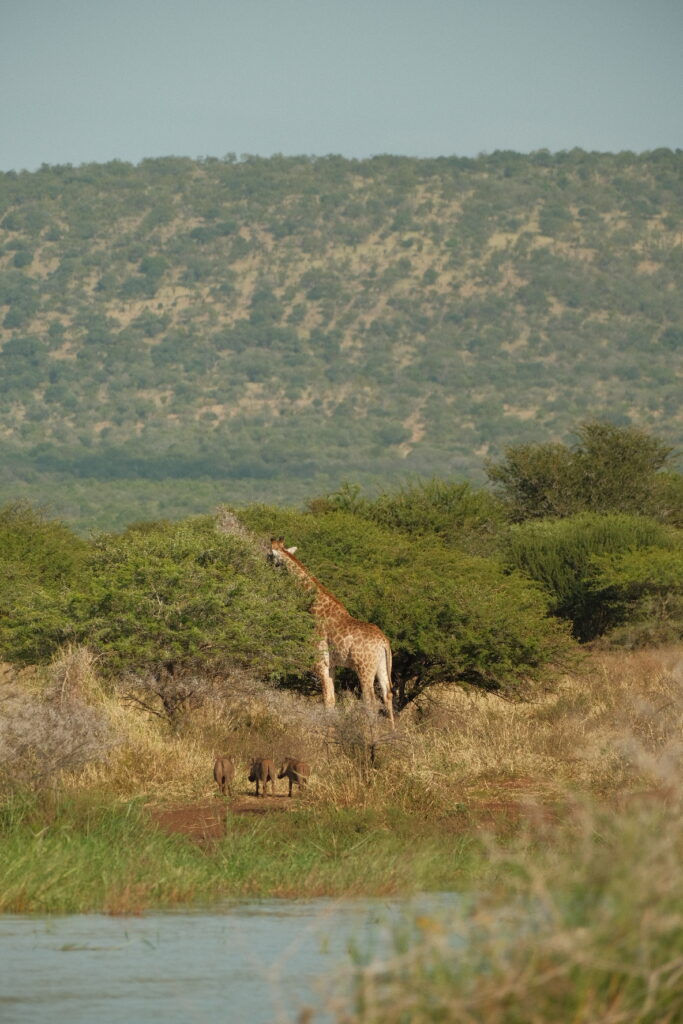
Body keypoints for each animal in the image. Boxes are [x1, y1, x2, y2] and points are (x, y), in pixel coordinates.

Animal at [268, 536, 395, 729]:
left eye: (269, 555)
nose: (265, 567)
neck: (315, 606)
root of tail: (384, 643)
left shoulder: (321, 662)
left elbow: (327, 700)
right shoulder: (332, 664)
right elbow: (332, 699)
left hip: (364, 668)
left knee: (370, 701)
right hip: (382, 666)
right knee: (388, 696)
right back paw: (393, 733)